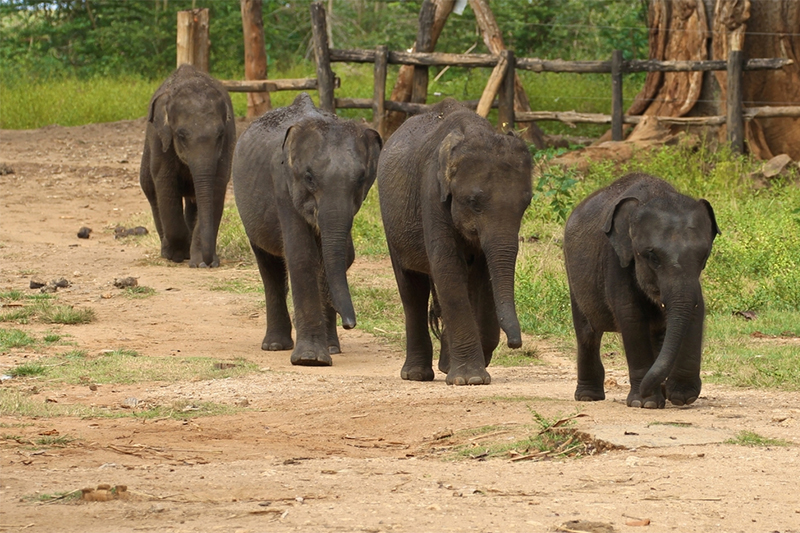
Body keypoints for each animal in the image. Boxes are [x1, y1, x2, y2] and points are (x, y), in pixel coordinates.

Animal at [139, 64, 234, 268]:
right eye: (181, 135)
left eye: (220, 135)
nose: (209, 260)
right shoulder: (159, 140)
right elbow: (165, 184)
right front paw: (177, 255)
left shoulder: (229, 140)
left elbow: (217, 186)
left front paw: (202, 263)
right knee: (152, 193)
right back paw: (167, 251)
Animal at [231, 92, 382, 366]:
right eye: (309, 177)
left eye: (360, 179)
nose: (350, 324)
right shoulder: (282, 184)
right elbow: (302, 255)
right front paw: (310, 360)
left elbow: (335, 257)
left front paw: (324, 352)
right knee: (269, 266)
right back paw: (274, 346)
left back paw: (331, 347)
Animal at [380, 98, 536, 382]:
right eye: (473, 202)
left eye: (527, 203)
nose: (515, 344)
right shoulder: (431, 192)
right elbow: (448, 267)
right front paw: (470, 379)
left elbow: (484, 275)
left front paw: (471, 369)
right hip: (391, 222)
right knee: (412, 289)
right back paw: (417, 374)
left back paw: (445, 365)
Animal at [564, 172, 720, 410]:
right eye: (652, 256)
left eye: (703, 256)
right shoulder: (615, 259)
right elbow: (631, 315)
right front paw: (645, 402)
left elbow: (696, 309)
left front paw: (682, 397)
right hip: (573, 274)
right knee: (587, 333)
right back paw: (588, 397)